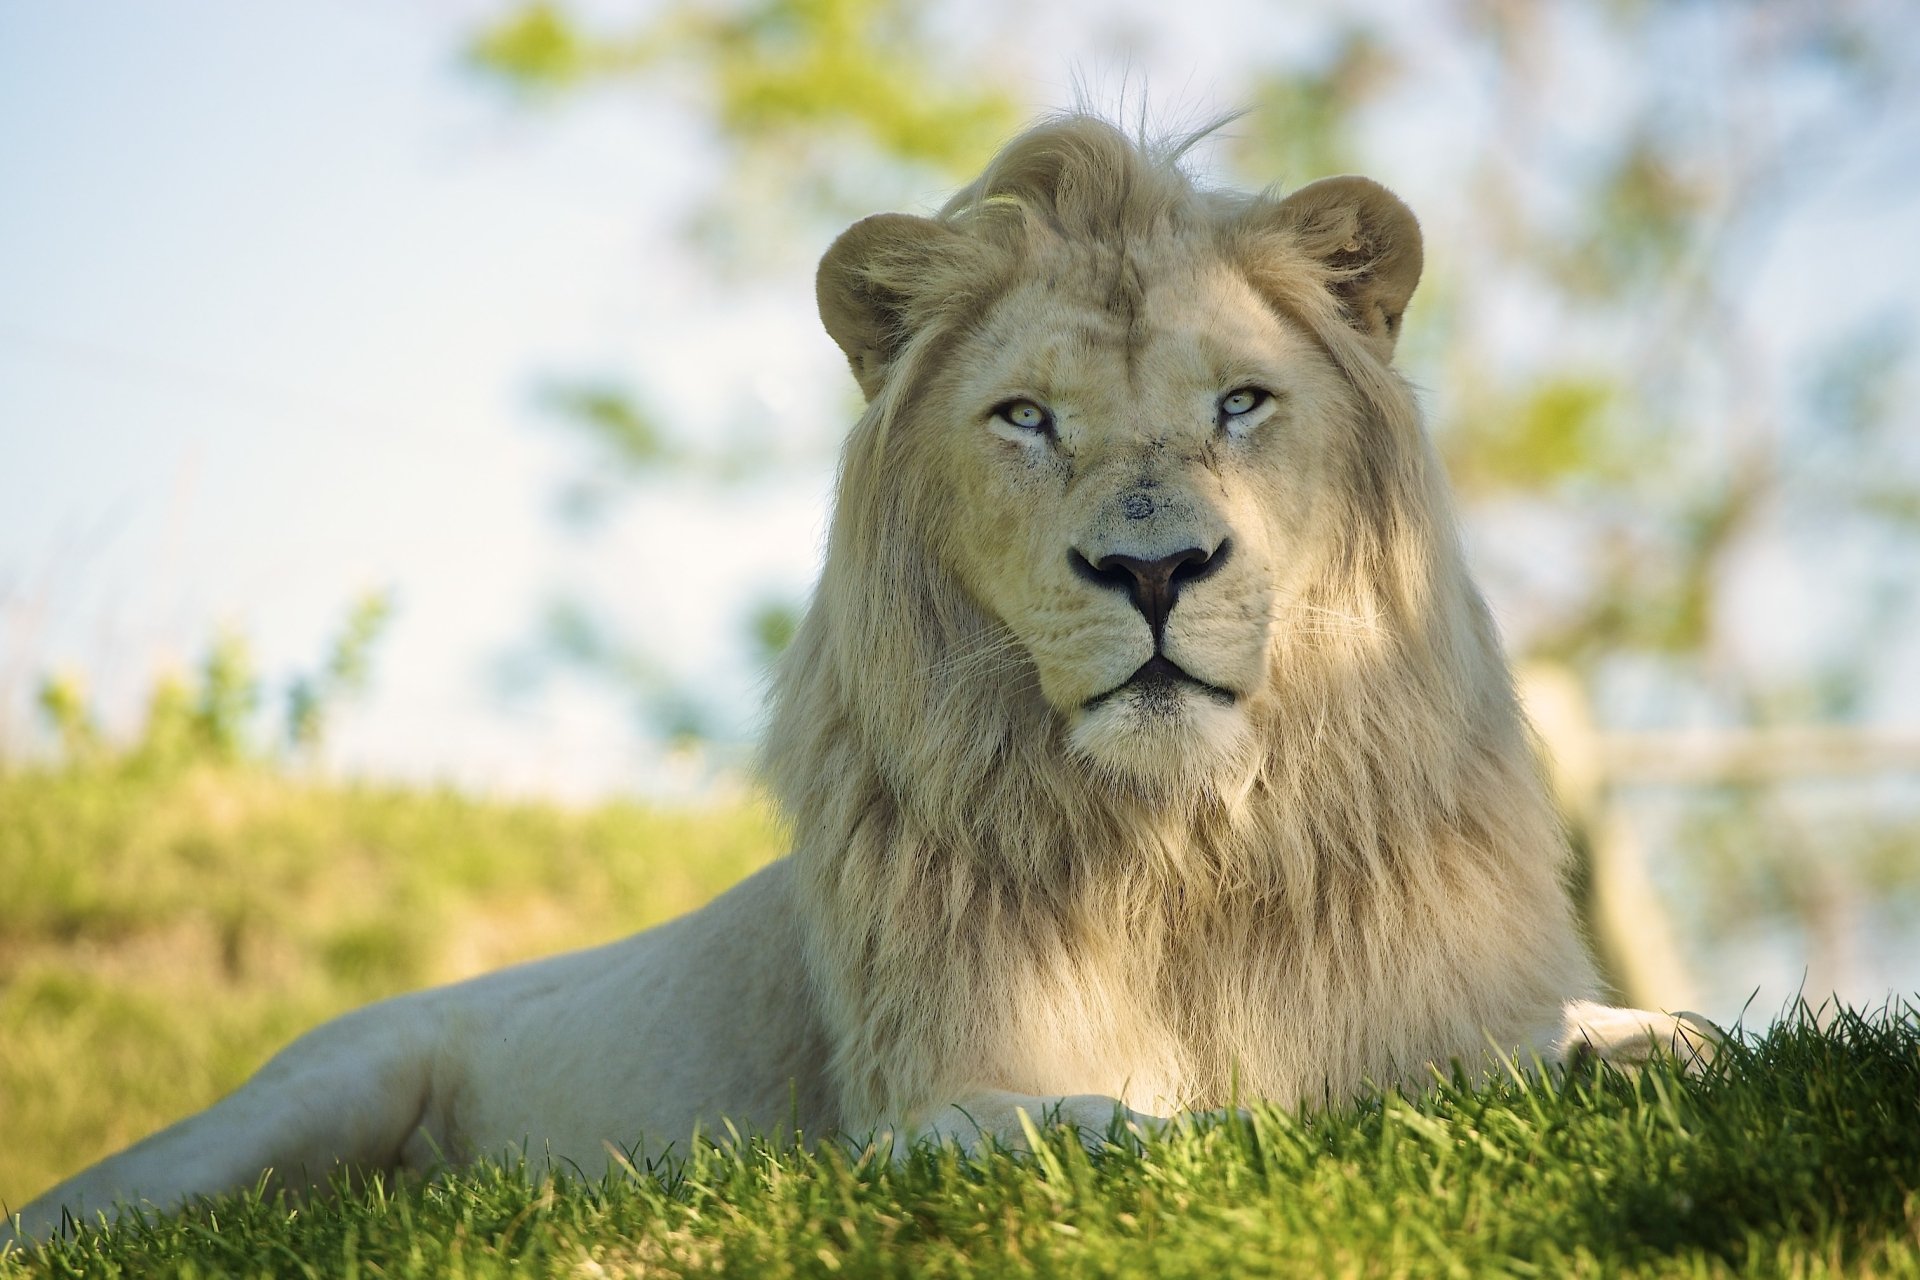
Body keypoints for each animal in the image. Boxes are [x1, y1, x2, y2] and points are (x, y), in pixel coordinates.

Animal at [4, 115, 1714, 1249]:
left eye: (1241, 404)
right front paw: (1118, 1124)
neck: (1184, 846)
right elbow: (1008, 1123)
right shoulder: (914, 1093)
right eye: (1026, 418)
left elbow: (1598, 1041)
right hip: (299, 1102)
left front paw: (1633, 1044)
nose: (1154, 571)